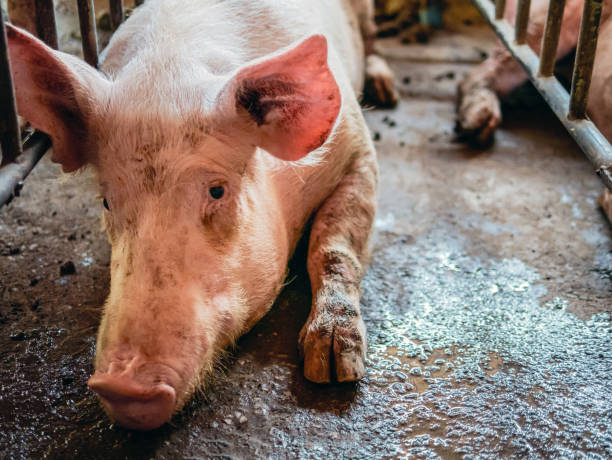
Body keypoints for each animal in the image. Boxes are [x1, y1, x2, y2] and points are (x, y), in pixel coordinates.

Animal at [7, 0, 400, 432]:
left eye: (217, 190)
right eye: (107, 201)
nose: (122, 386)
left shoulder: (358, 148)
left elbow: (333, 248)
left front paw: (330, 365)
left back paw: (387, 90)